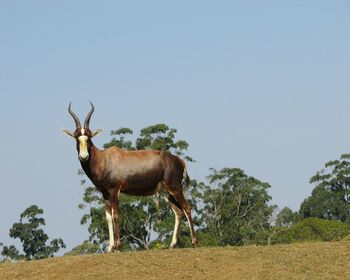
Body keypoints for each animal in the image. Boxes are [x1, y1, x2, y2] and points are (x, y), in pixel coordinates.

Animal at [62, 103, 197, 252]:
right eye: (77, 138)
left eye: (89, 137)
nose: (84, 156)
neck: (105, 158)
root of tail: (179, 160)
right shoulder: (105, 193)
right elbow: (108, 217)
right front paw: (110, 247)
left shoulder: (114, 190)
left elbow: (116, 215)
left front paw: (117, 247)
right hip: (165, 192)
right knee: (178, 212)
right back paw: (172, 244)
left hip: (175, 188)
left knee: (187, 208)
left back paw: (194, 242)